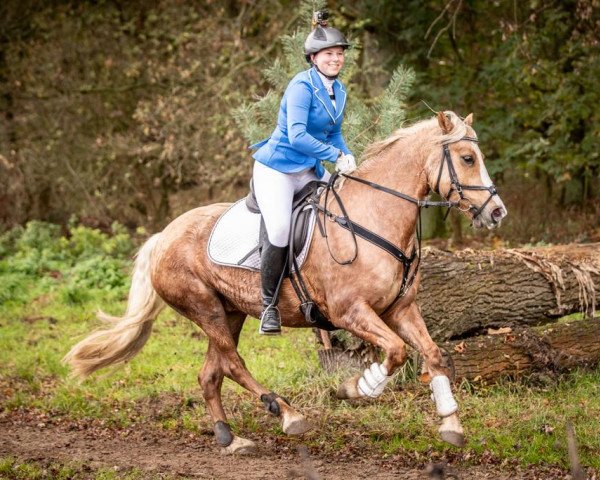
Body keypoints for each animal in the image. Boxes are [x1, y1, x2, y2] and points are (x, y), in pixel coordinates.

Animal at [64, 111, 506, 454]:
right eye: (468, 157)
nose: (497, 212)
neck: (373, 217)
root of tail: (163, 235)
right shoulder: (350, 312)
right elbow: (396, 352)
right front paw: (356, 389)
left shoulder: (400, 309)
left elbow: (433, 354)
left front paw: (451, 424)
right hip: (204, 308)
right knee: (233, 363)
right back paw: (287, 413)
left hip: (230, 312)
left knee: (211, 373)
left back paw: (230, 438)